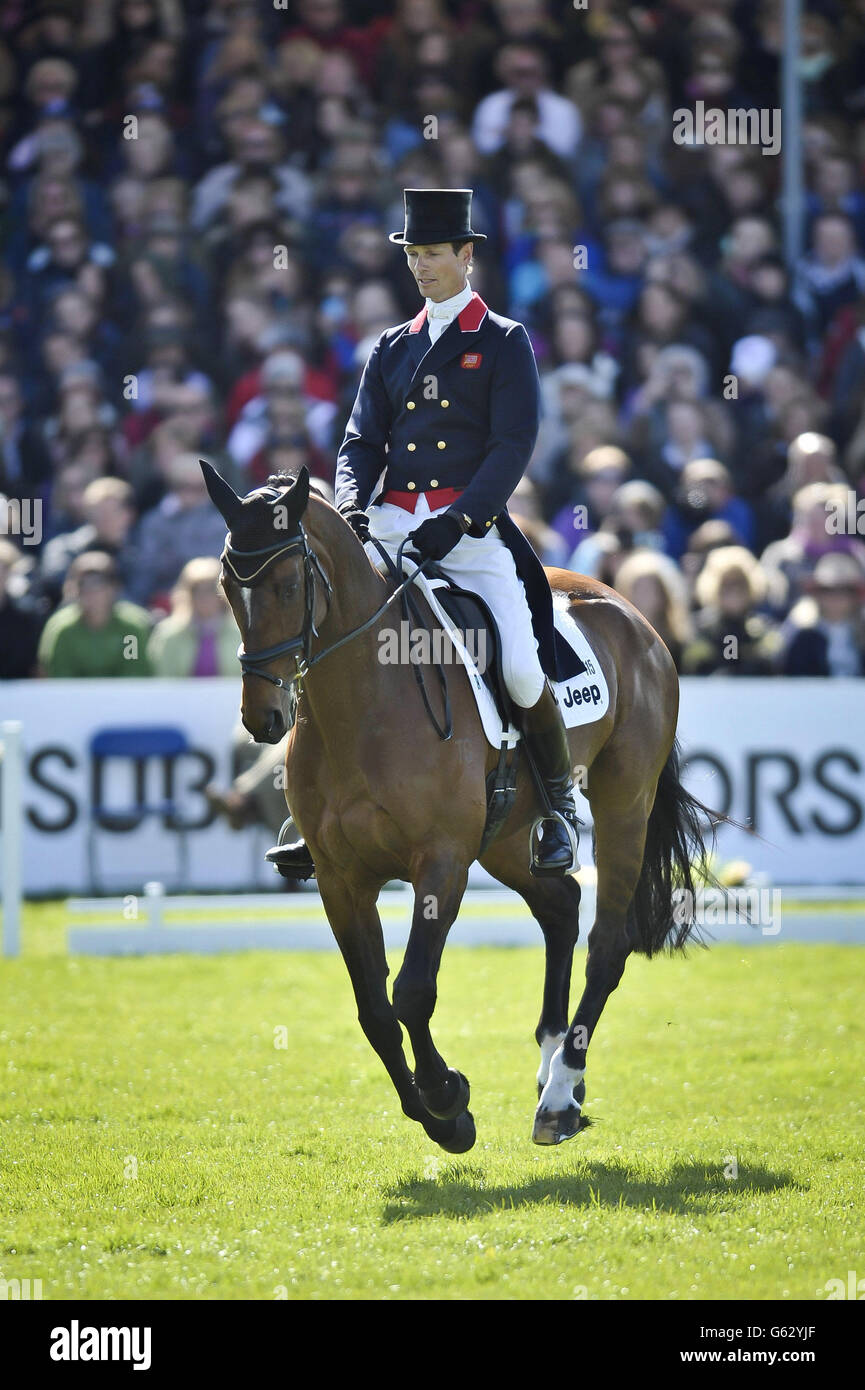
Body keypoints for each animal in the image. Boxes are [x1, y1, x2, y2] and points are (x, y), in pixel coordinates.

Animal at [203, 464, 717, 1150]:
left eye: (288, 584)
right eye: (228, 585)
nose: (262, 717)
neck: (363, 700)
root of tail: (636, 616)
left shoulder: (441, 860)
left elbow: (412, 991)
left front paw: (447, 1097)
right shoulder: (341, 877)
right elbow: (373, 1009)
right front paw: (436, 1115)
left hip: (623, 802)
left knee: (608, 942)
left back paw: (560, 1095)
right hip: (506, 837)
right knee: (561, 904)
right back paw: (554, 1067)